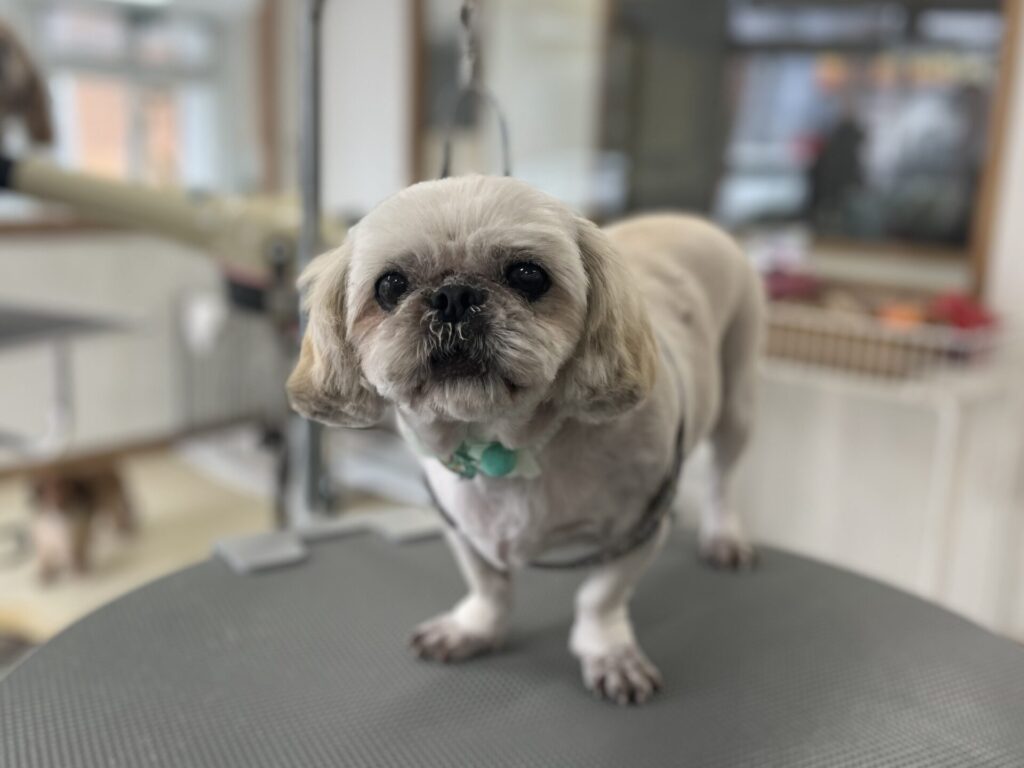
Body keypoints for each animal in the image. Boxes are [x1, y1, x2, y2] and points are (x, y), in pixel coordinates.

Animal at [288, 175, 763, 705]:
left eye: (528, 275)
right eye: (390, 285)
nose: (454, 296)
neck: (507, 448)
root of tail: (686, 218)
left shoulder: (638, 530)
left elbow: (600, 597)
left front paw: (609, 653)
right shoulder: (461, 526)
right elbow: (489, 587)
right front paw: (473, 628)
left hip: (737, 400)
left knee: (722, 478)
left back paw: (723, 535)